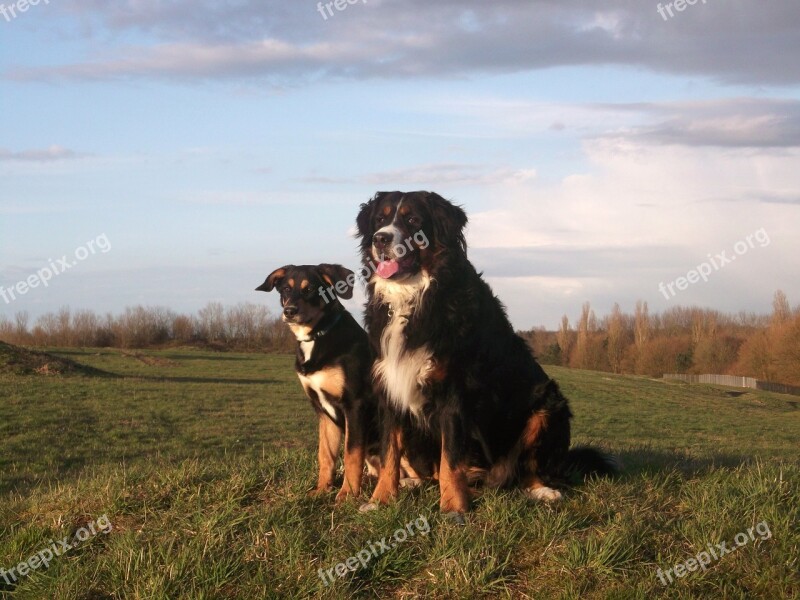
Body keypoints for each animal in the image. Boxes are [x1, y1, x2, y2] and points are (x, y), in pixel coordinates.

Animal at [256, 262, 382, 502]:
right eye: (285, 289)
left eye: (310, 289)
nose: (289, 311)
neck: (316, 337)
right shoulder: (322, 410)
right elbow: (325, 455)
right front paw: (322, 489)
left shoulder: (355, 404)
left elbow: (351, 453)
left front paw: (347, 494)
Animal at [354, 192, 612, 516]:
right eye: (380, 219)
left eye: (413, 220)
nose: (381, 238)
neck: (415, 297)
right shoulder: (390, 386)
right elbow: (390, 453)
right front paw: (380, 501)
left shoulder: (454, 393)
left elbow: (451, 459)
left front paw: (453, 508)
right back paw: (413, 482)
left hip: (547, 407)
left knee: (527, 468)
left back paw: (542, 490)